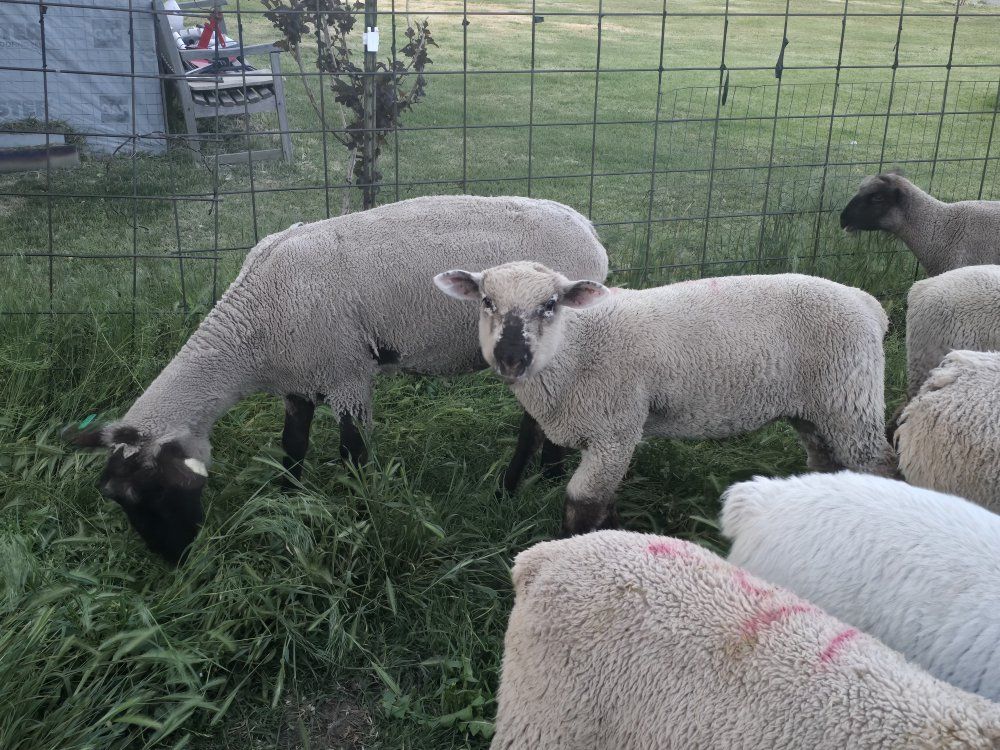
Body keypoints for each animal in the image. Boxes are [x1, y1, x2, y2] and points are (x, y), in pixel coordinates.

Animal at [62, 196, 609, 564]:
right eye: (115, 497)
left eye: (150, 492)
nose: (173, 561)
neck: (250, 332)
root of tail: (587, 228)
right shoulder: (299, 379)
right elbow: (292, 445)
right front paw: (287, 501)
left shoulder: (348, 375)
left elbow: (351, 454)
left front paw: (359, 516)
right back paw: (544, 476)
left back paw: (517, 486)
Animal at [434, 262, 896, 535]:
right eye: (487, 301)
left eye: (550, 304)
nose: (510, 358)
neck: (575, 349)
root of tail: (867, 302)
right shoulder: (610, 438)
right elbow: (605, 502)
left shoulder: (615, 430)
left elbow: (582, 505)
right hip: (817, 410)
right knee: (826, 460)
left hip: (850, 399)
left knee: (879, 465)